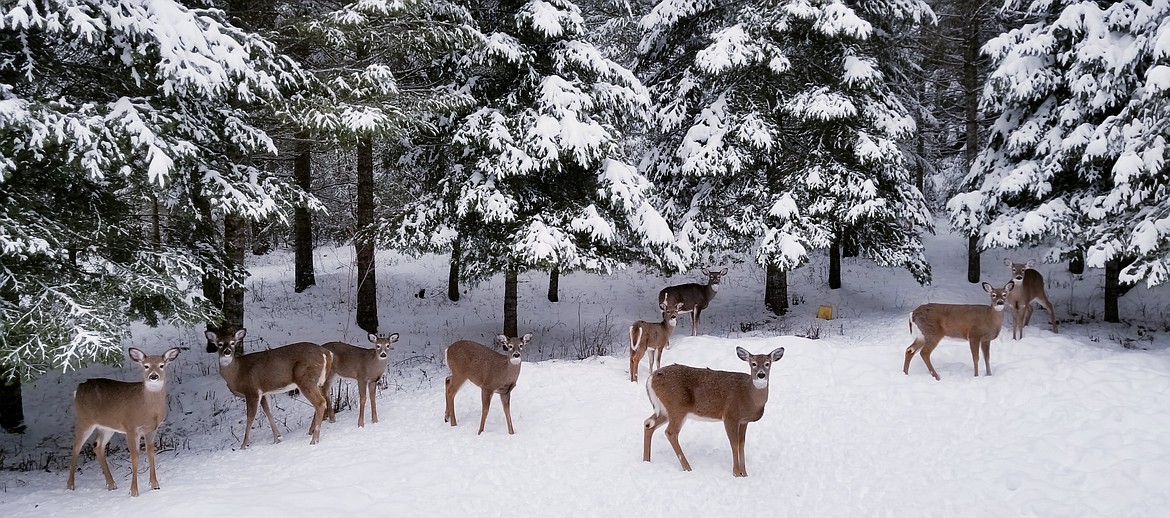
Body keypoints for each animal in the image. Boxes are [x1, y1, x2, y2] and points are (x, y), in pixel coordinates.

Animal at [68, 346, 181, 495]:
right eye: (146, 366)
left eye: (162, 365)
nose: (153, 376)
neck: (147, 408)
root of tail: (78, 389)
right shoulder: (131, 427)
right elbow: (135, 456)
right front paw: (134, 491)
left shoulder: (152, 429)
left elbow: (151, 453)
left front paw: (155, 484)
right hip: (84, 419)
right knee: (76, 446)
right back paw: (70, 485)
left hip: (106, 426)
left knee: (97, 445)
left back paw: (111, 484)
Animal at [641, 346, 786, 477]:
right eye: (753, 363)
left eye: (768, 363)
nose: (761, 374)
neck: (749, 395)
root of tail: (651, 378)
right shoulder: (730, 415)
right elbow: (734, 443)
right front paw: (736, 473)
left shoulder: (744, 421)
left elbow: (741, 444)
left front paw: (745, 474)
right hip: (676, 406)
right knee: (670, 432)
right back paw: (687, 468)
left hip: (665, 410)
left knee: (648, 423)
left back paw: (646, 460)